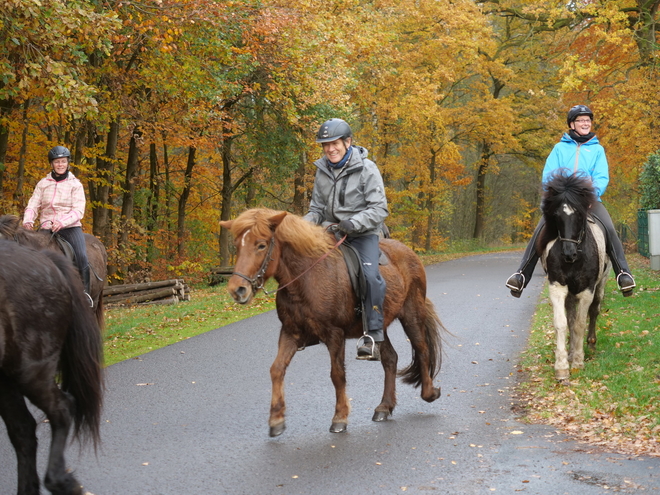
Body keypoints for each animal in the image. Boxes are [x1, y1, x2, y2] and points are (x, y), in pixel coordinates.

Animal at [219, 209, 446, 438]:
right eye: (238, 245)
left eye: (261, 245)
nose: (237, 290)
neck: (306, 278)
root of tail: (409, 253)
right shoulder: (290, 332)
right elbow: (276, 369)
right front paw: (276, 419)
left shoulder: (334, 334)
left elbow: (337, 374)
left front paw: (340, 418)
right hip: (379, 328)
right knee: (391, 358)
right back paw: (384, 407)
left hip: (411, 314)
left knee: (422, 349)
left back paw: (428, 392)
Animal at [540, 171, 612, 384]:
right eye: (556, 216)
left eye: (579, 214)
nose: (568, 254)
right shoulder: (557, 286)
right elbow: (563, 323)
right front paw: (562, 367)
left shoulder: (587, 290)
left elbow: (580, 324)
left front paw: (579, 362)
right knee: (571, 318)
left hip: (601, 284)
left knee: (594, 311)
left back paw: (591, 344)